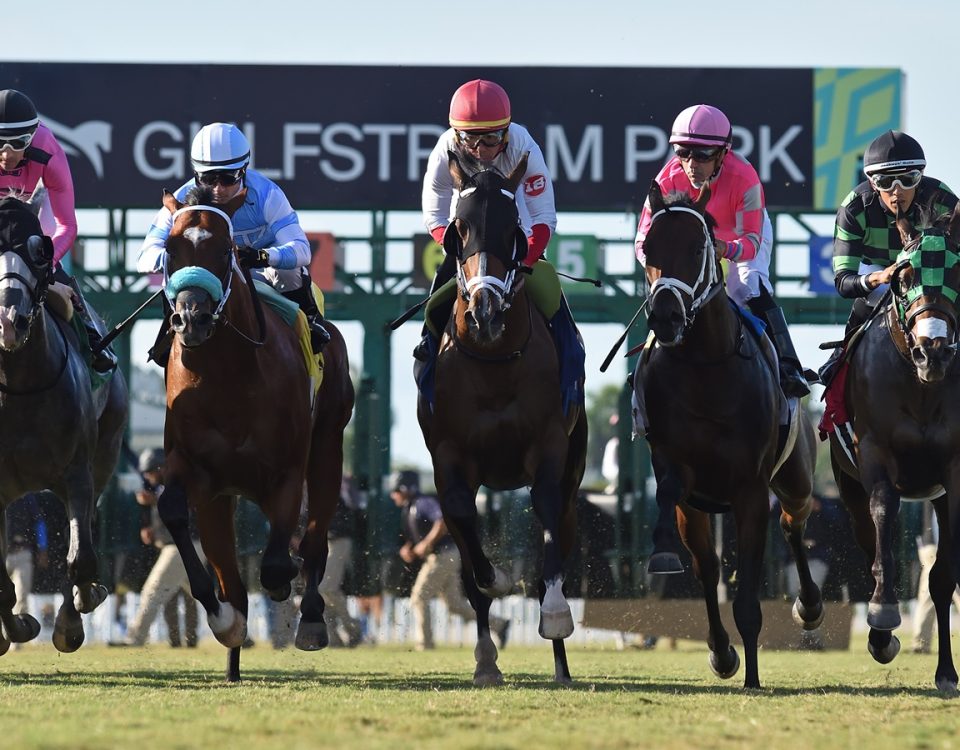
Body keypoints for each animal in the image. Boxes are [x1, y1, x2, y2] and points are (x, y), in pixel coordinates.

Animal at [0, 195, 127, 656]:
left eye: (39, 251)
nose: (8, 319)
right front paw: (16, 628)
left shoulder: (77, 470)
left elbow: (80, 557)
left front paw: (70, 623)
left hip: (107, 448)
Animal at [159, 187, 354, 680]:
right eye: (171, 248)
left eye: (226, 249)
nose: (192, 319)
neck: (227, 375)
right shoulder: (194, 469)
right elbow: (174, 514)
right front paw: (225, 620)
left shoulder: (285, 471)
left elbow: (279, 563)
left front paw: (289, 597)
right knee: (232, 571)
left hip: (327, 446)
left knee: (315, 537)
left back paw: (310, 619)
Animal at [416, 153, 588, 688]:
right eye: (460, 228)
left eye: (512, 228)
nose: (486, 311)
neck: (492, 362)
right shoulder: (449, 461)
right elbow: (470, 551)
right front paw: (493, 583)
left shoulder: (549, 446)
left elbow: (548, 518)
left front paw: (554, 614)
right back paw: (487, 658)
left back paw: (561, 664)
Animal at [636, 184, 816, 692]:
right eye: (647, 249)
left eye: (698, 248)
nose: (665, 317)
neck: (706, 369)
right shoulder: (680, 474)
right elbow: (672, 498)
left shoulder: (749, 490)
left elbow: (749, 601)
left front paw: (752, 677)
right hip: (700, 509)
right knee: (708, 565)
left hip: (796, 478)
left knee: (794, 521)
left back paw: (809, 606)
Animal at [824, 203, 960, 696]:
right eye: (904, 277)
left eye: (956, 271)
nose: (932, 351)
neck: (920, 386)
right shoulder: (875, 454)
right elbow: (884, 509)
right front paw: (883, 614)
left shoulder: (954, 470)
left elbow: (942, 576)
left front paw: (946, 672)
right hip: (846, 485)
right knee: (869, 543)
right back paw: (881, 638)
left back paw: (946, 672)